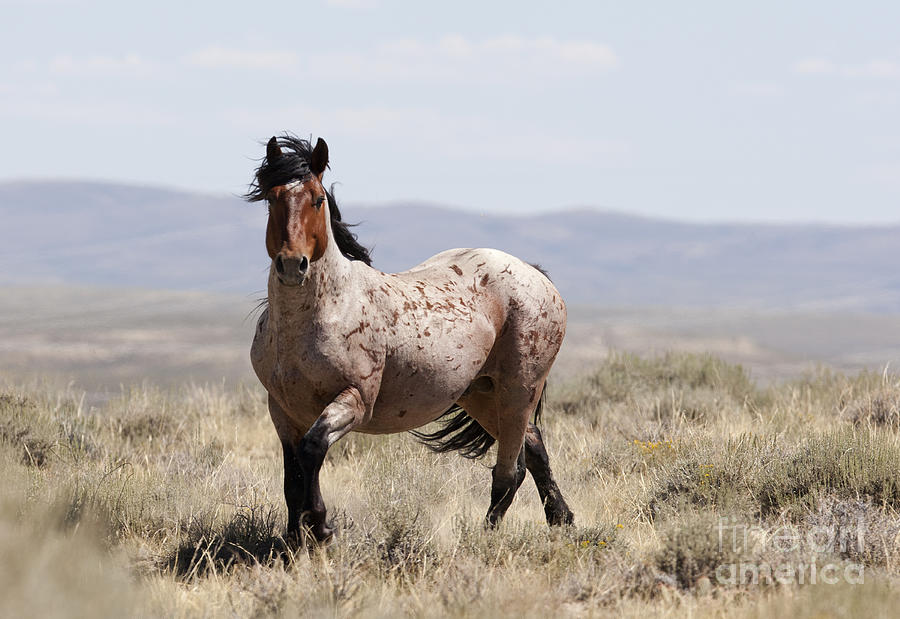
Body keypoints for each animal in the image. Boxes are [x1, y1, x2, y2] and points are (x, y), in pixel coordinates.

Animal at [246, 136, 572, 544]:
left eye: (318, 199)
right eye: (272, 198)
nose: (292, 265)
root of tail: (535, 274)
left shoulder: (354, 401)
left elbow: (312, 450)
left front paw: (321, 527)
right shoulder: (282, 411)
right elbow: (292, 479)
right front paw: (295, 540)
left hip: (519, 388)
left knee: (509, 473)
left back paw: (484, 538)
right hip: (480, 394)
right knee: (534, 446)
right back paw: (562, 519)